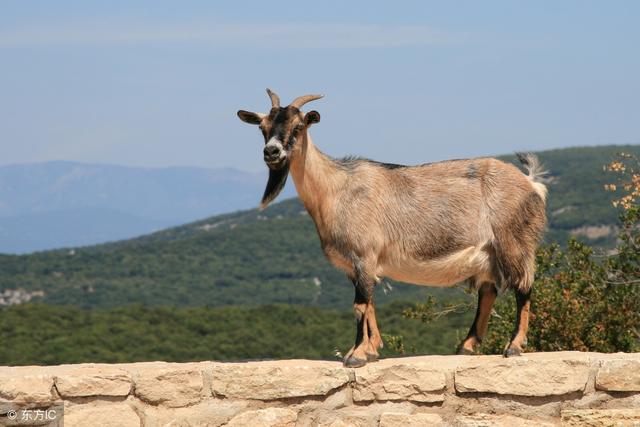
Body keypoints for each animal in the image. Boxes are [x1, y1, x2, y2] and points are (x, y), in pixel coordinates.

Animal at [238, 89, 548, 368]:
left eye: (299, 126)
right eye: (263, 127)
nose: (272, 152)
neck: (335, 189)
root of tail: (531, 183)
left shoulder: (364, 255)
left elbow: (360, 306)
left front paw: (357, 355)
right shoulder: (359, 266)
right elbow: (369, 304)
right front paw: (371, 350)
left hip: (514, 240)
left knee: (523, 287)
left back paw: (513, 347)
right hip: (488, 254)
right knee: (488, 292)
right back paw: (465, 347)